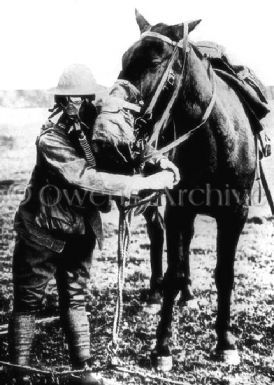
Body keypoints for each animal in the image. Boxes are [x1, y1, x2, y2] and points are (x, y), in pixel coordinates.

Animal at [119, 10, 258, 368]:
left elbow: (224, 274)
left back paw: (190, 294)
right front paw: (162, 347)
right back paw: (155, 294)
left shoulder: (235, 214)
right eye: (124, 58)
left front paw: (225, 341)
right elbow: (173, 270)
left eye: (154, 61)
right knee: (157, 235)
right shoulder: (178, 209)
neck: (216, 142)